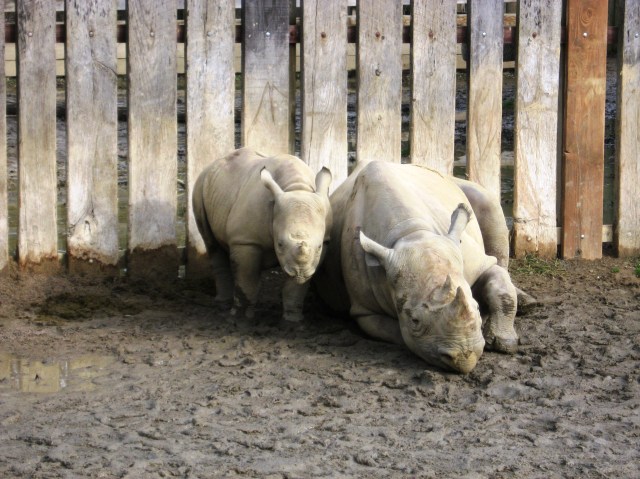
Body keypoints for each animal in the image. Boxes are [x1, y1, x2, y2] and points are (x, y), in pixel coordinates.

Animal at [192, 147, 332, 322]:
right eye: (280, 244)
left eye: (318, 246)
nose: (299, 271)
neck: (296, 188)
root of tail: (212, 165)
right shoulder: (245, 241)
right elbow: (246, 278)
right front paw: (239, 319)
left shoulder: (323, 244)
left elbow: (296, 287)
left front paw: (292, 322)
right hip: (199, 186)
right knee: (211, 244)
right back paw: (222, 306)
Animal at [314, 161, 518, 373]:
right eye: (414, 320)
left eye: (476, 306)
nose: (465, 359)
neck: (412, 233)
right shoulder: (365, 309)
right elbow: (397, 333)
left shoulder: (472, 261)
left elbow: (500, 286)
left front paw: (505, 343)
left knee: (489, 207)